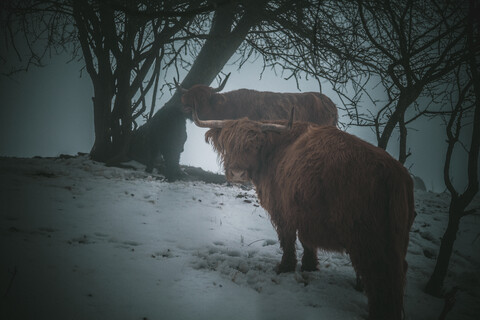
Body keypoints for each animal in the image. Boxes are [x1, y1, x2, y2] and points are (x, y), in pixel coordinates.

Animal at [193, 109, 414, 320]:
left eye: (253, 145)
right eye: (227, 143)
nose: (237, 173)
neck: (273, 152)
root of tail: (393, 172)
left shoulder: (283, 212)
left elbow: (288, 240)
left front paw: (285, 267)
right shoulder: (307, 215)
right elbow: (307, 242)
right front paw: (309, 266)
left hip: (366, 238)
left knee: (380, 278)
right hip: (396, 240)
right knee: (396, 274)